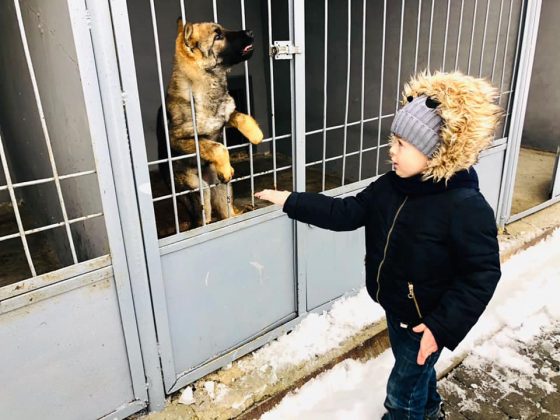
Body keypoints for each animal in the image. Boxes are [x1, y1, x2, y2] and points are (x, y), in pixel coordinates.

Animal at [156, 18, 264, 230]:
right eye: (218, 36)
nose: (251, 32)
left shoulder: (224, 115)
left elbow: (241, 116)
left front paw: (256, 134)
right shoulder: (179, 139)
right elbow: (216, 146)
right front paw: (225, 161)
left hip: (222, 187)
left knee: (226, 212)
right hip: (199, 190)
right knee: (203, 219)